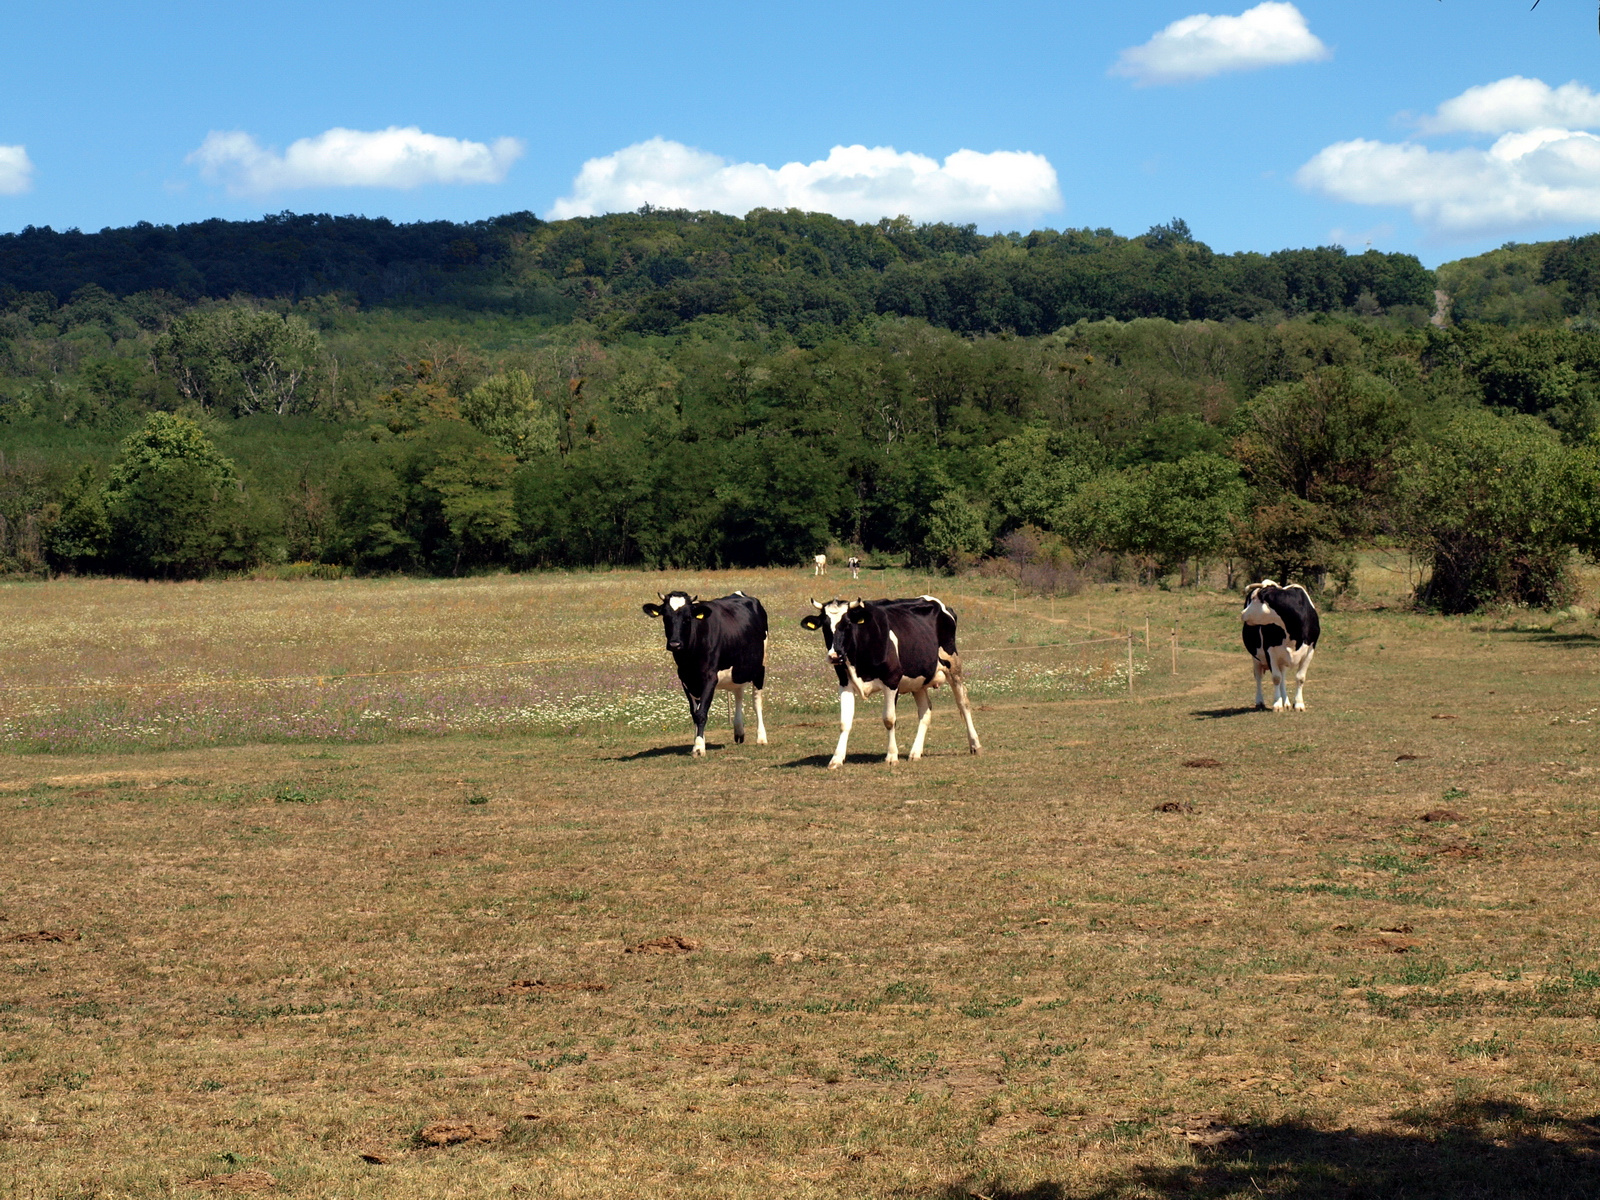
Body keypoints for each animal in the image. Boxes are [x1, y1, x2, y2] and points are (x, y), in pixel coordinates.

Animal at [636, 595, 768, 761]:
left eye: (687, 618)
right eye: (665, 617)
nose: (674, 644)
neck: (689, 658)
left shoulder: (710, 678)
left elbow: (701, 713)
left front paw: (699, 747)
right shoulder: (686, 680)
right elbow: (695, 713)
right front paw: (699, 740)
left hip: (760, 668)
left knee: (757, 702)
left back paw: (761, 738)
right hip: (737, 670)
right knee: (738, 694)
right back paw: (739, 731)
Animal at [796, 598, 972, 771]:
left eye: (847, 624)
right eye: (825, 626)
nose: (834, 656)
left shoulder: (891, 681)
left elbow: (889, 719)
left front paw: (892, 756)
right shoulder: (844, 683)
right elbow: (844, 722)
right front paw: (836, 759)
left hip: (953, 665)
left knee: (963, 702)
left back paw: (974, 744)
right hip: (919, 680)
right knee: (925, 711)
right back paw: (915, 752)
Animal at [1241, 582, 1318, 713]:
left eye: (1254, 599)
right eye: (1251, 599)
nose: (1242, 613)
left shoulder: (1310, 650)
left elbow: (1300, 678)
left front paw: (1298, 704)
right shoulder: (1269, 651)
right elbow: (1276, 678)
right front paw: (1277, 704)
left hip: (1282, 660)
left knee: (1283, 677)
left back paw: (1286, 703)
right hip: (1256, 657)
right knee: (1259, 677)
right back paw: (1260, 702)